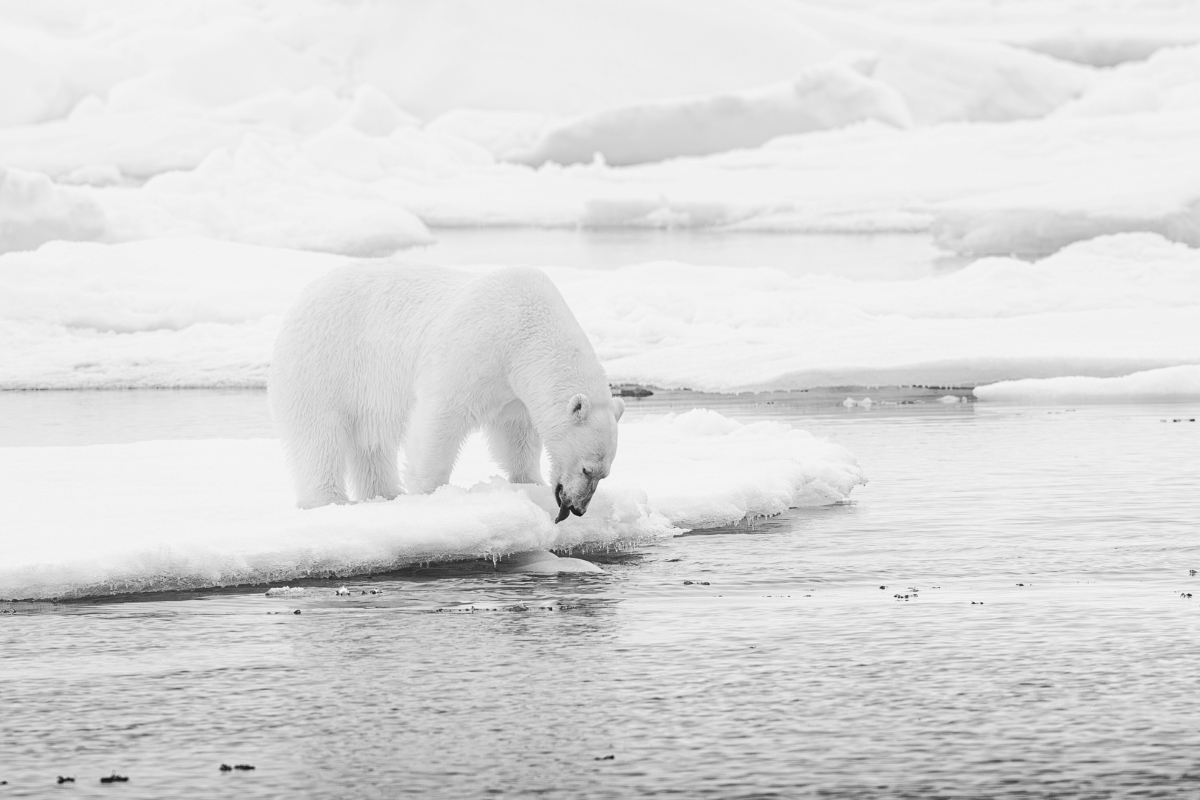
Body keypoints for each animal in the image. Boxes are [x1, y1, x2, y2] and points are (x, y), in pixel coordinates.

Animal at [268, 262, 625, 522]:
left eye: (604, 475)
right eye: (587, 469)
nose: (577, 508)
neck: (529, 332)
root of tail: (303, 297)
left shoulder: (513, 387)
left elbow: (516, 432)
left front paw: (529, 481)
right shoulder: (477, 348)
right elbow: (440, 416)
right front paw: (431, 495)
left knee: (371, 442)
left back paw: (386, 493)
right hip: (325, 365)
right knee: (319, 437)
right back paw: (329, 500)